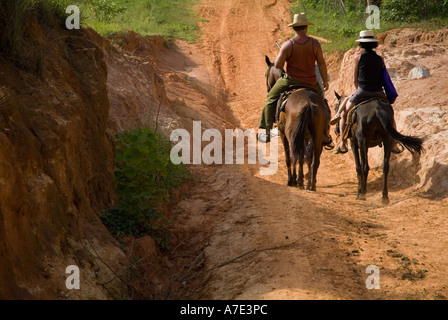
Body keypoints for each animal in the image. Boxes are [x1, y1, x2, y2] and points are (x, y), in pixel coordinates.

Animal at [264, 55, 328, 190]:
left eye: (265, 74)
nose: (268, 89)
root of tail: (308, 103)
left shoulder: (283, 134)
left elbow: (289, 158)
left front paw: (292, 180)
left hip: (292, 135)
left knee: (296, 156)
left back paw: (297, 181)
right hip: (317, 135)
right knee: (314, 159)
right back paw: (311, 185)